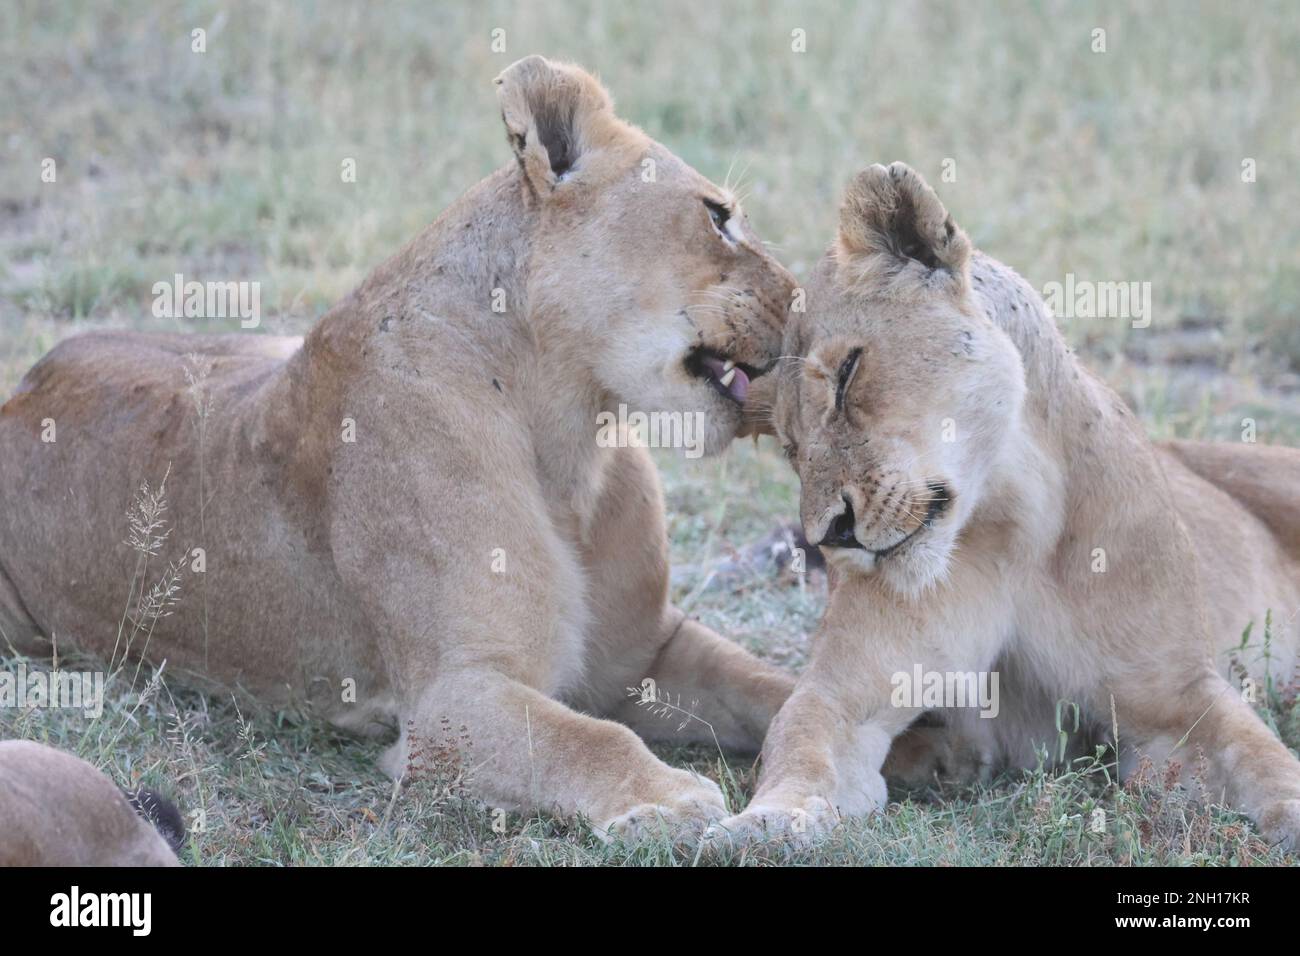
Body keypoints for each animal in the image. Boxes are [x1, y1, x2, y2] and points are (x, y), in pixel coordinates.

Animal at [0, 56, 796, 839]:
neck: (573, 435)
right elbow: (589, 738)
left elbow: (772, 687)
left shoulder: (645, 652)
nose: (802, 299)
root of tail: (23, 391)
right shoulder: (449, 704)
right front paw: (668, 799)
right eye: (717, 216)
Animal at [724, 162, 1300, 850]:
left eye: (847, 375)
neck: (1013, 518)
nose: (829, 535)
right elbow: (799, 738)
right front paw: (764, 821)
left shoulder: (1178, 695)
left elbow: (1264, 758)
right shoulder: (843, 692)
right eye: (790, 446)